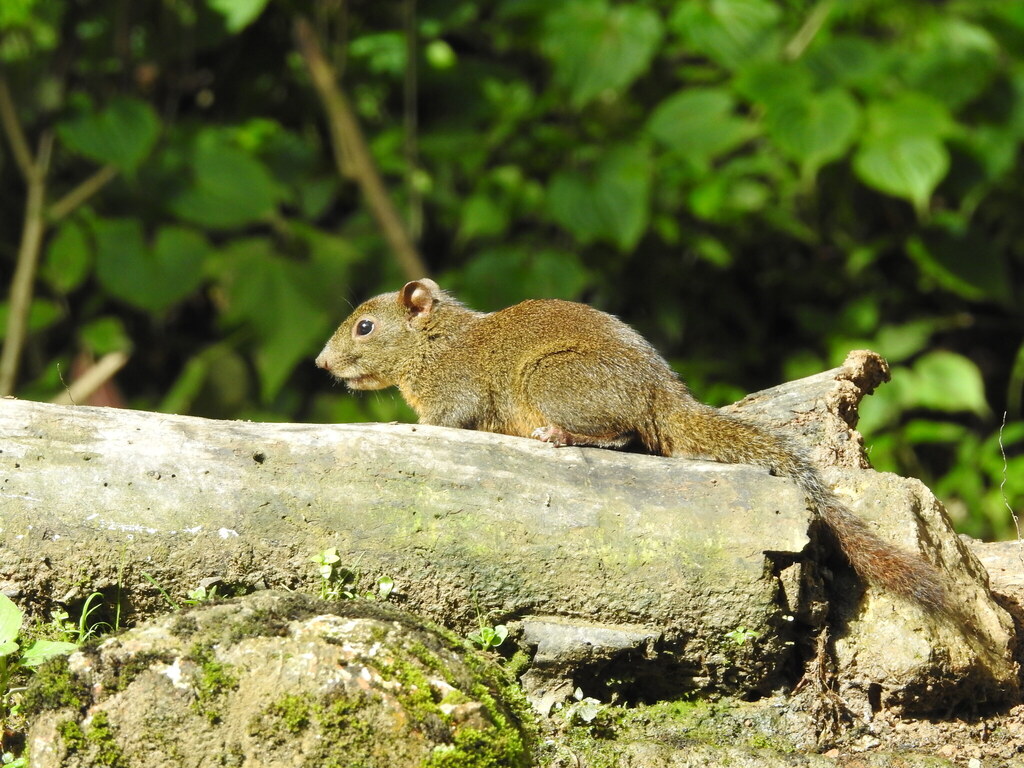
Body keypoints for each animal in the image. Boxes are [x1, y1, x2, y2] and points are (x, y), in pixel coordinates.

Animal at [316, 278, 947, 611]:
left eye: (365, 327)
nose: (321, 363)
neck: (434, 344)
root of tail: (660, 394)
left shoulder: (457, 394)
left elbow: (446, 421)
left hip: (553, 381)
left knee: (624, 436)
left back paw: (560, 434)